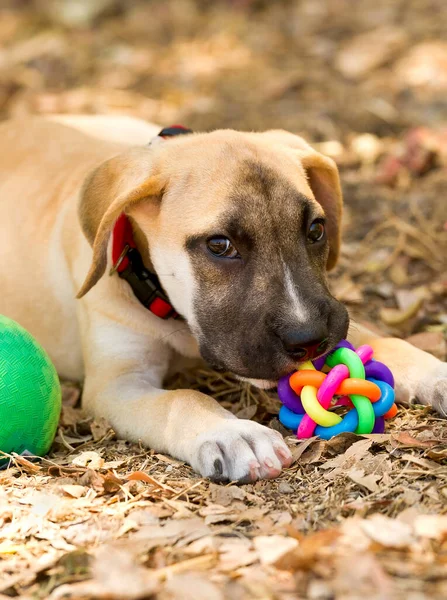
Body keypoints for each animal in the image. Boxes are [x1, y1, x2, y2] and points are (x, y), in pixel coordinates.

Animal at [0, 118, 447, 482]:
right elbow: (181, 399)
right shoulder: (116, 382)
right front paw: (234, 433)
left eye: (316, 230)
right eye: (220, 245)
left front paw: (436, 372)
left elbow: (389, 342)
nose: (308, 340)